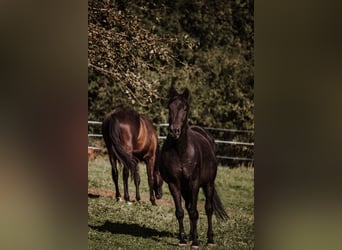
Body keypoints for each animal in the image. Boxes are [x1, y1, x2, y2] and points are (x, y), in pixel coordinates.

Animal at [160, 87, 227, 247]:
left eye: (185, 108)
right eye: (169, 107)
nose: (174, 131)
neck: (180, 151)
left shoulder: (194, 183)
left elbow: (195, 212)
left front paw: (196, 242)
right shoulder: (174, 184)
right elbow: (181, 211)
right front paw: (183, 239)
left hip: (208, 184)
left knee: (208, 209)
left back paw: (209, 239)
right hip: (185, 189)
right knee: (189, 206)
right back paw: (191, 235)